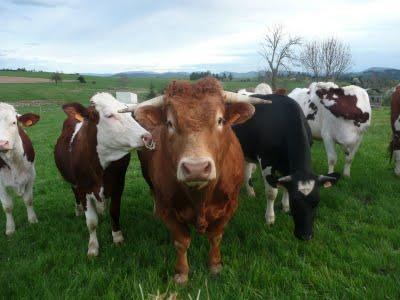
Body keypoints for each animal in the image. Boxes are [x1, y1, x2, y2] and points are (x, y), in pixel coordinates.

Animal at [0, 103, 39, 234]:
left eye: (14, 122)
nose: (2, 143)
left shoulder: (31, 176)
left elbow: (28, 200)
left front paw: (32, 220)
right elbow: (7, 206)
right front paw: (10, 228)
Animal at [55, 92, 155, 256]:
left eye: (130, 114)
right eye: (109, 115)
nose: (147, 137)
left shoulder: (118, 184)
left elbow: (114, 212)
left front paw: (117, 238)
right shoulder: (83, 189)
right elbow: (91, 222)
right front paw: (93, 247)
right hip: (73, 182)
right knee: (74, 192)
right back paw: (79, 210)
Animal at [119, 77, 268, 284]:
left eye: (220, 120)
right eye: (169, 123)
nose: (196, 168)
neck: (201, 197)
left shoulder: (230, 205)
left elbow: (215, 237)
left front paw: (215, 265)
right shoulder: (168, 209)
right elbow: (181, 242)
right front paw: (181, 273)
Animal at [233, 94, 340, 239]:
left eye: (316, 202)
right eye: (295, 201)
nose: (305, 236)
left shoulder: (287, 166)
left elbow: (286, 185)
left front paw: (285, 207)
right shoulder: (266, 161)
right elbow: (271, 193)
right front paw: (270, 219)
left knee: (247, 170)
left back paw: (251, 193)